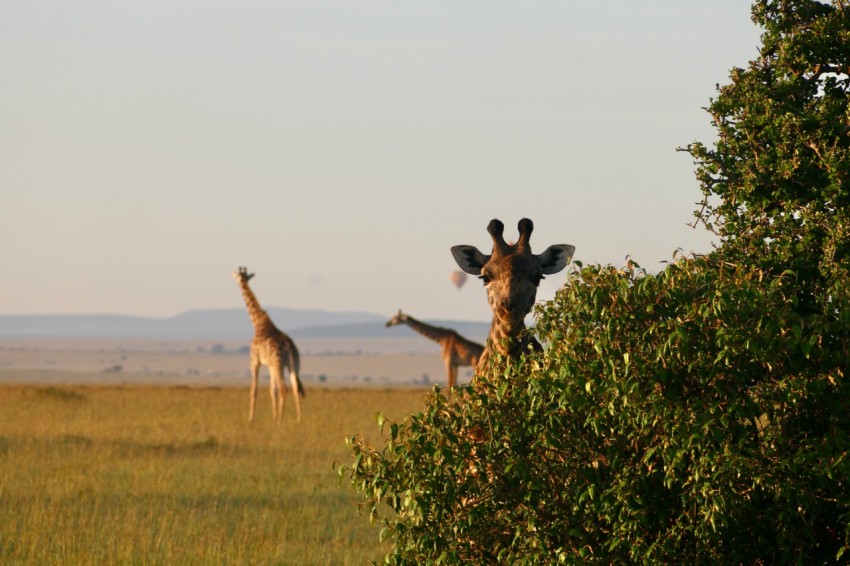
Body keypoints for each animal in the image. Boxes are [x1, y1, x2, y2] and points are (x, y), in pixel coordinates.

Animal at [232, 266, 304, 423]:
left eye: (240, 278)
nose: (238, 282)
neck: (257, 322)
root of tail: (290, 347)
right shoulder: (270, 366)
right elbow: (272, 390)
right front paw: (273, 415)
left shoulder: (254, 361)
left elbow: (254, 390)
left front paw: (251, 419)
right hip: (293, 364)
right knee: (295, 387)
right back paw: (298, 419)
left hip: (278, 363)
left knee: (284, 388)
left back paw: (280, 421)